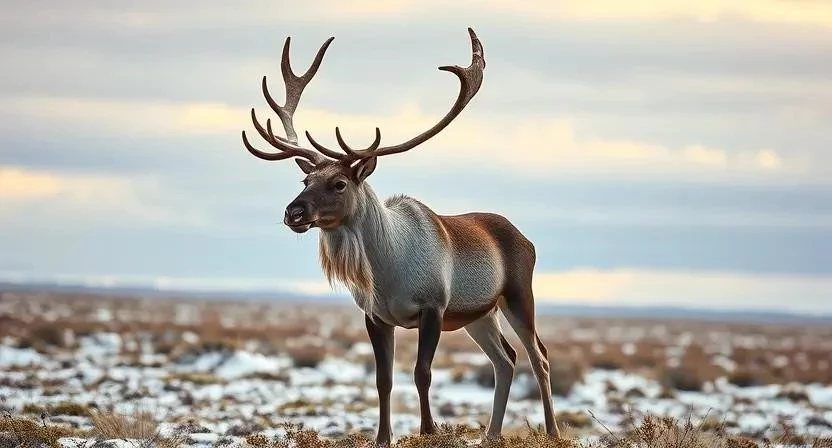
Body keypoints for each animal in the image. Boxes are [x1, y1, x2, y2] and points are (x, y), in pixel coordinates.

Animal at [240, 28, 560, 446]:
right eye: (305, 180)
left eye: (339, 183)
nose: (293, 213)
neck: (386, 271)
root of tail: (527, 240)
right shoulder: (376, 317)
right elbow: (383, 380)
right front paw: (382, 437)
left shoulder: (433, 307)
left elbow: (422, 373)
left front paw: (428, 430)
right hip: (479, 314)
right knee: (505, 359)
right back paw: (491, 434)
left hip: (518, 294)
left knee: (538, 355)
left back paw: (553, 431)